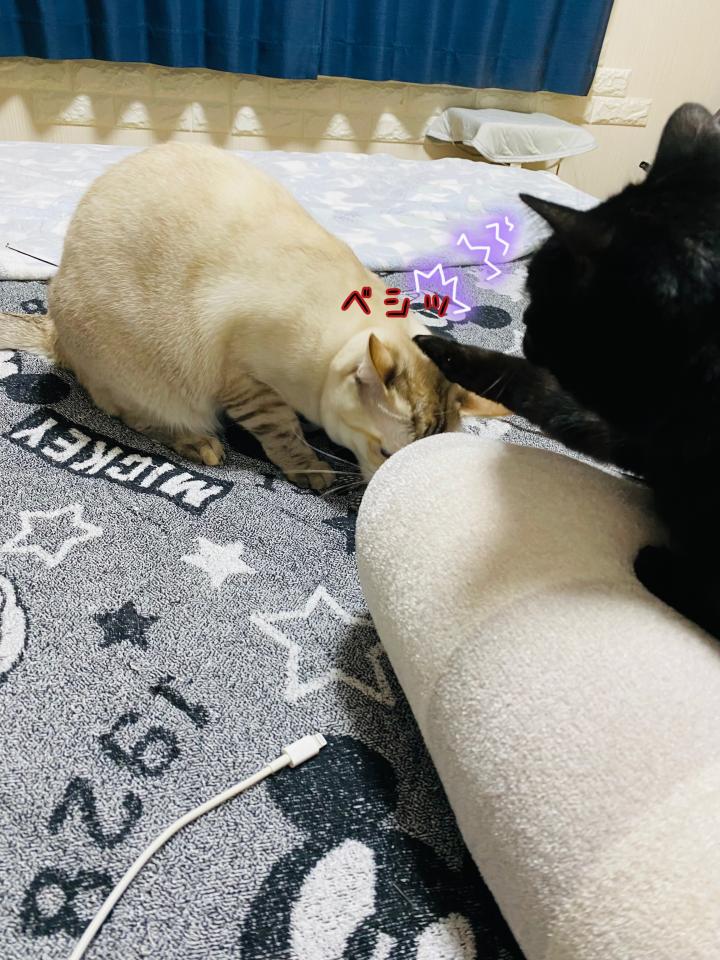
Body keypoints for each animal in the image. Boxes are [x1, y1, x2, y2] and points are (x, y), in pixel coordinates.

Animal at [0, 143, 504, 489]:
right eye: (384, 452)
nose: (384, 488)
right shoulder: (247, 381)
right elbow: (281, 431)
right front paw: (309, 467)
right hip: (150, 382)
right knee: (139, 418)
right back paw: (202, 445)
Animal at [416, 102, 720, 639]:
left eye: (538, 293)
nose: (524, 329)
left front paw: (655, 565)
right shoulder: (641, 437)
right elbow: (534, 389)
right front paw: (441, 350)